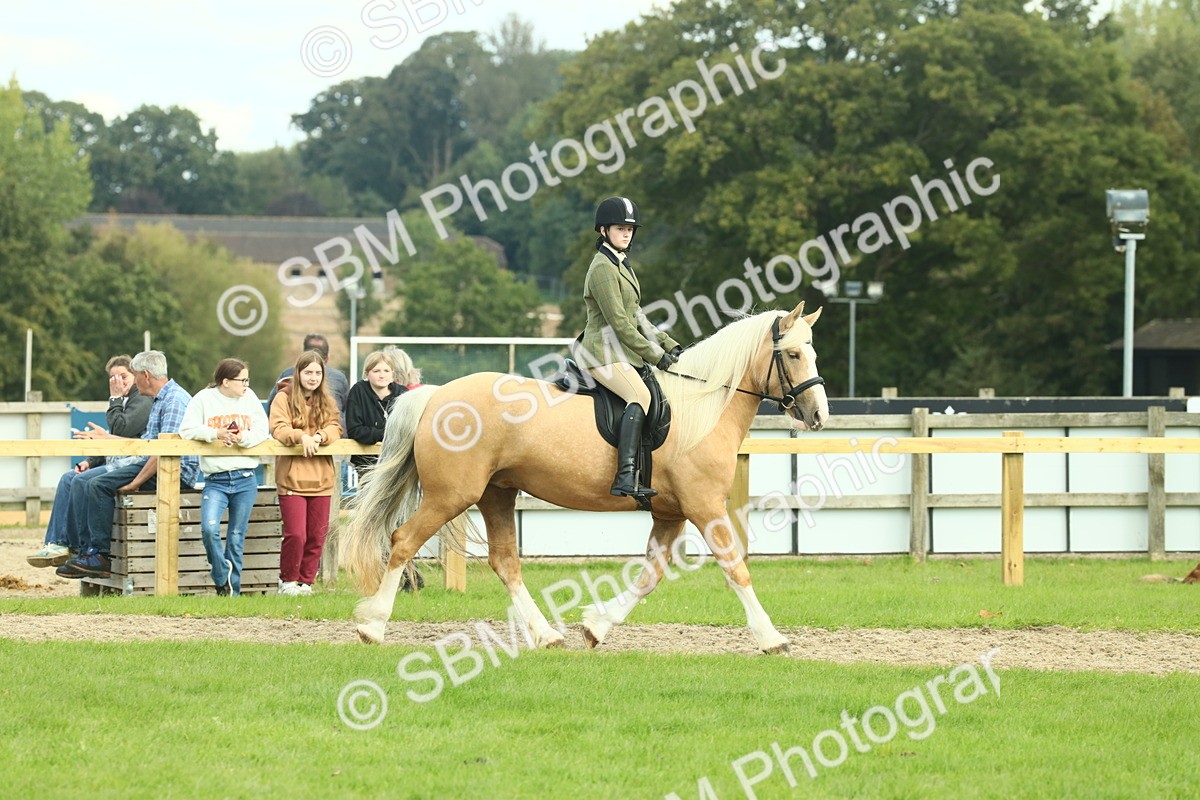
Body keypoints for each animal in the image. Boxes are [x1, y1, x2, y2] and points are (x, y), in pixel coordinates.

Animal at [342, 302, 829, 654]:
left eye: (812, 351)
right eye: (792, 354)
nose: (819, 415)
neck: (703, 406)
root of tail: (436, 395)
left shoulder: (671, 513)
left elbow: (650, 576)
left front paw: (596, 626)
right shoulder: (704, 506)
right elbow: (736, 569)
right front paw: (772, 638)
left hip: (496, 493)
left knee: (505, 562)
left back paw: (546, 635)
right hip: (451, 495)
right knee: (403, 540)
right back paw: (373, 627)